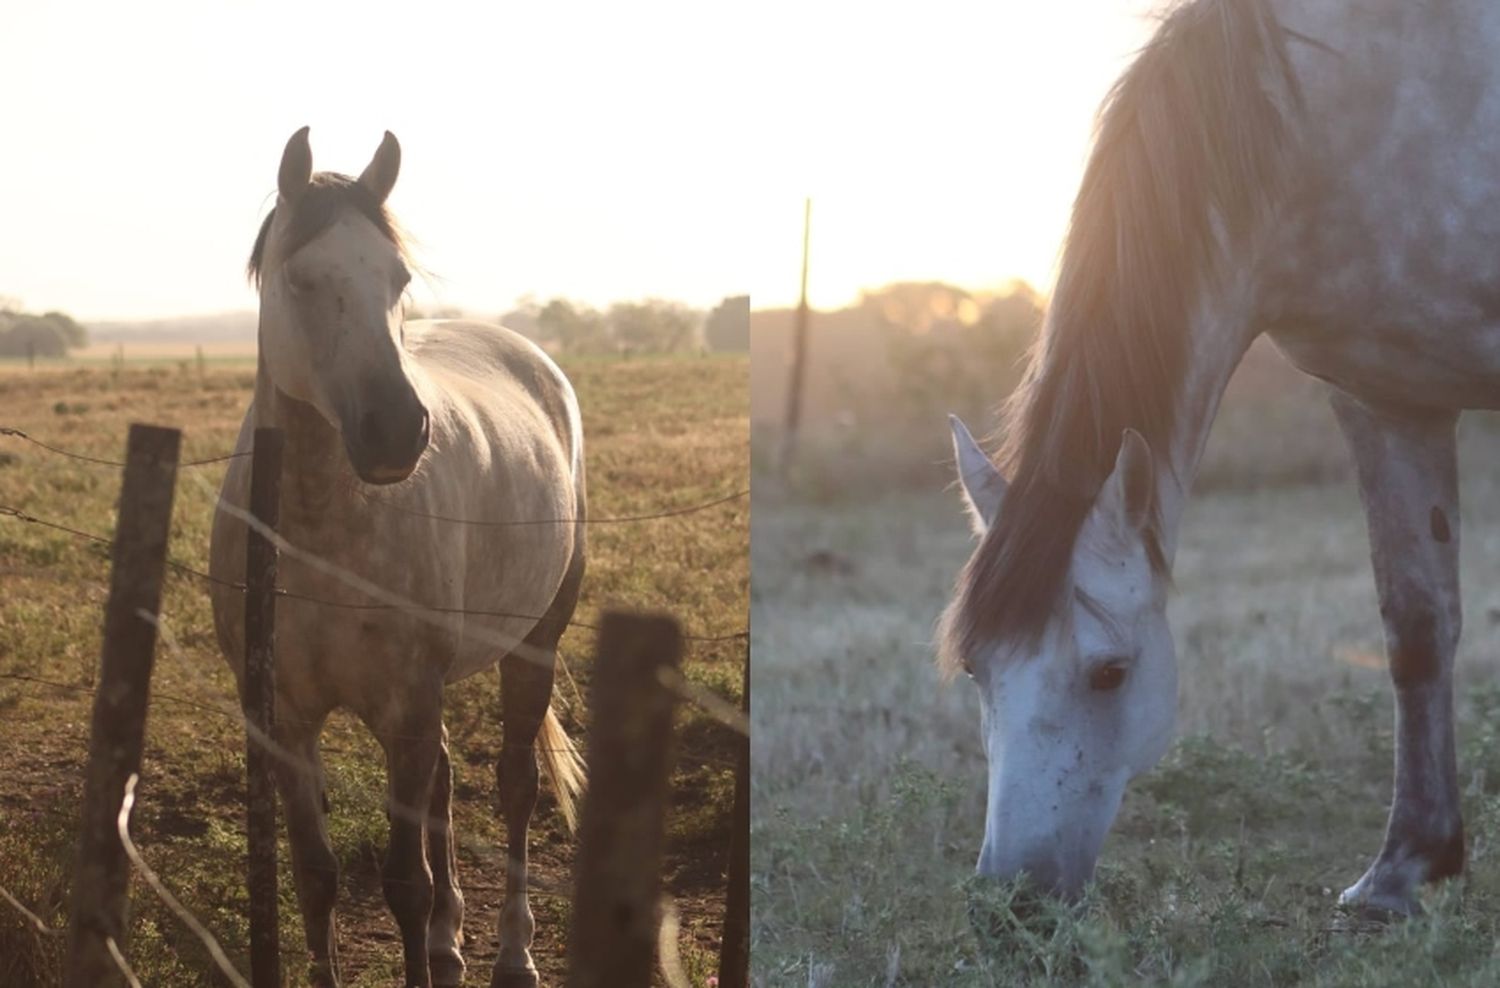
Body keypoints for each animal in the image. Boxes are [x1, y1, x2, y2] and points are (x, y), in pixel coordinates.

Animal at [211, 127, 585, 983]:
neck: (317, 526)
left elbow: (404, 883)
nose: (396, 430)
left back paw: (513, 952)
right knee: (446, 783)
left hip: (535, 643)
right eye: (301, 276)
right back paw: (451, 940)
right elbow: (316, 875)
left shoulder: (406, 704)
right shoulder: (282, 717)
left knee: (514, 786)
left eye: (398, 277)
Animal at [942, 0, 1494, 917]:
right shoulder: (1384, 398)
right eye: (977, 668)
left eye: (1110, 673)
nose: (1013, 900)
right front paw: (1402, 869)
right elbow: (1416, 630)